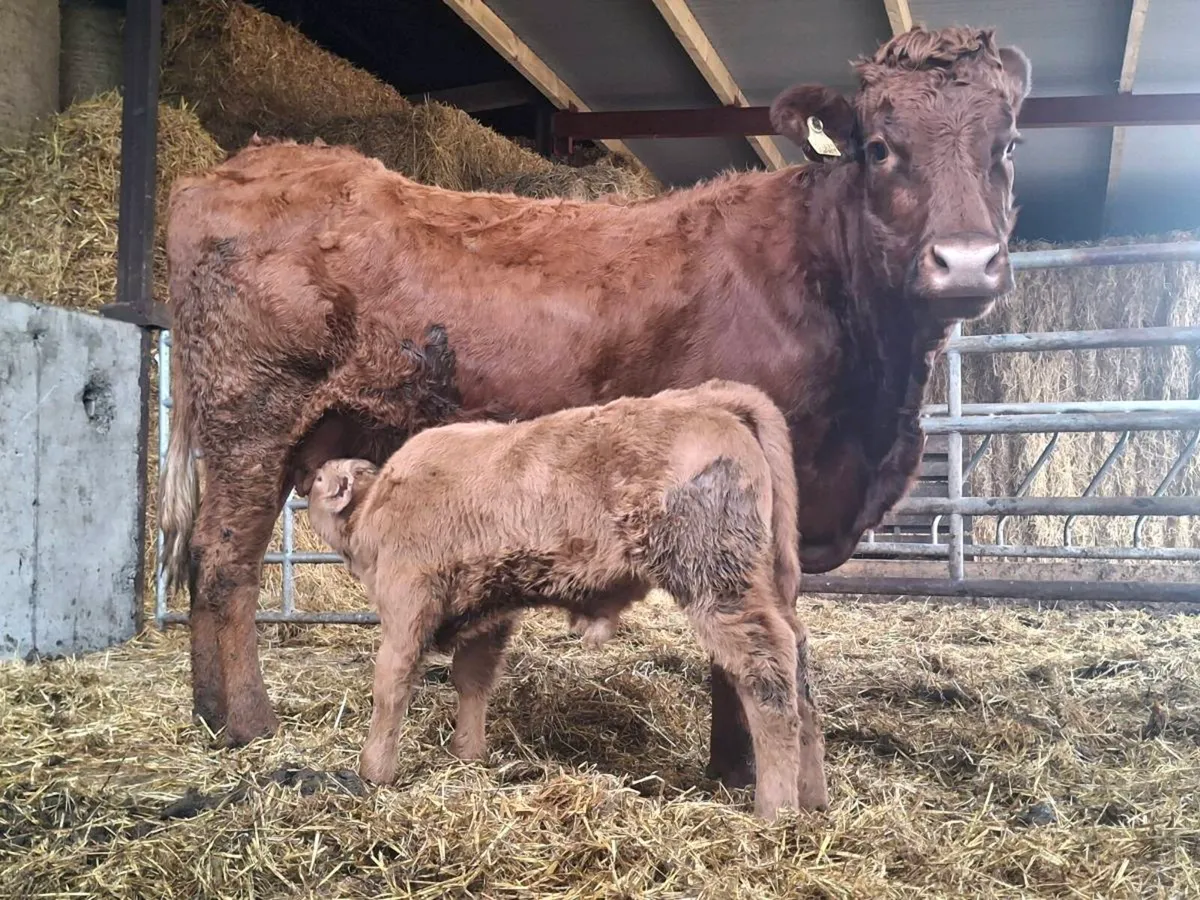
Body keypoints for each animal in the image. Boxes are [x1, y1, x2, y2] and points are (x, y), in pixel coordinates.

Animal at [304, 379, 827, 819]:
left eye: (318, 480)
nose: (311, 474)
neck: (379, 501)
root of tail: (704, 402)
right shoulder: (488, 614)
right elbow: (471, 680)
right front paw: (468, 754)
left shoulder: (407, 604)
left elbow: (391, 685)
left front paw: (373, 771)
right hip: (765, 583)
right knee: (799, 666)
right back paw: (813, 797)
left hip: (716, 585)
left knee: (768, 670)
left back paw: (775, 809)